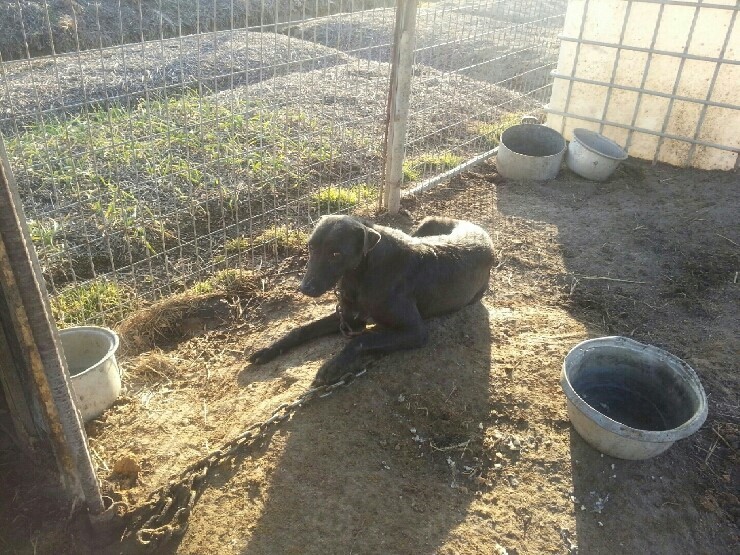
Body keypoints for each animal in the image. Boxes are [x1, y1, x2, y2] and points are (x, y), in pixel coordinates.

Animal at [249, 215, 495, 384]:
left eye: (336, 254)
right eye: (311, 246)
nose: (305, 289)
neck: (361, 274)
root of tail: (477, 228)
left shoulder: (416, 332)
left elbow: (361, 340)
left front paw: (334, 365)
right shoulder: (350, 317)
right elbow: (301, 329)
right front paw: (269, 349)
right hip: (425, 225)